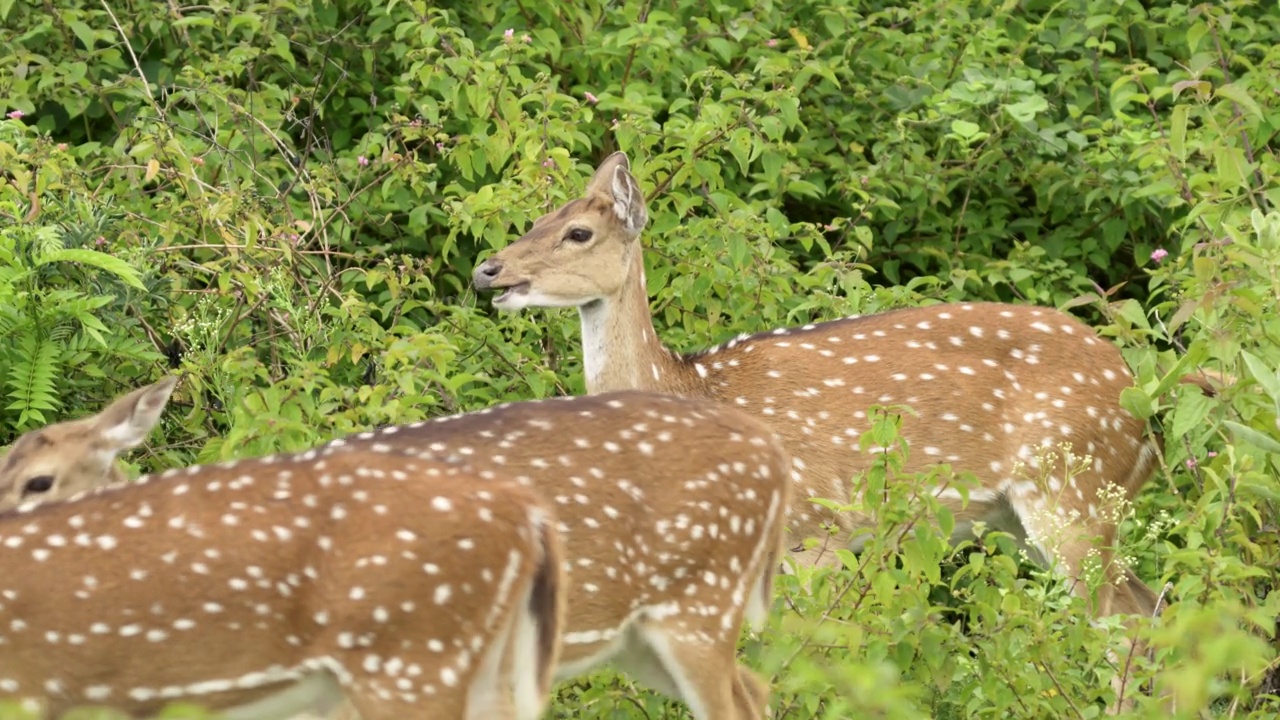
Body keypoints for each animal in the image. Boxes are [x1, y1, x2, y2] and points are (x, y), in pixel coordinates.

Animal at [468, 148, 1218, 630]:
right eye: (535, 218)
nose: (487, 269)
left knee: (1128, 624)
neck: (695, 388)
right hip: (1029, 515)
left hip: (1074, 493)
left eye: (578, 231)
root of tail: (1147, 401)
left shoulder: (817, 532)